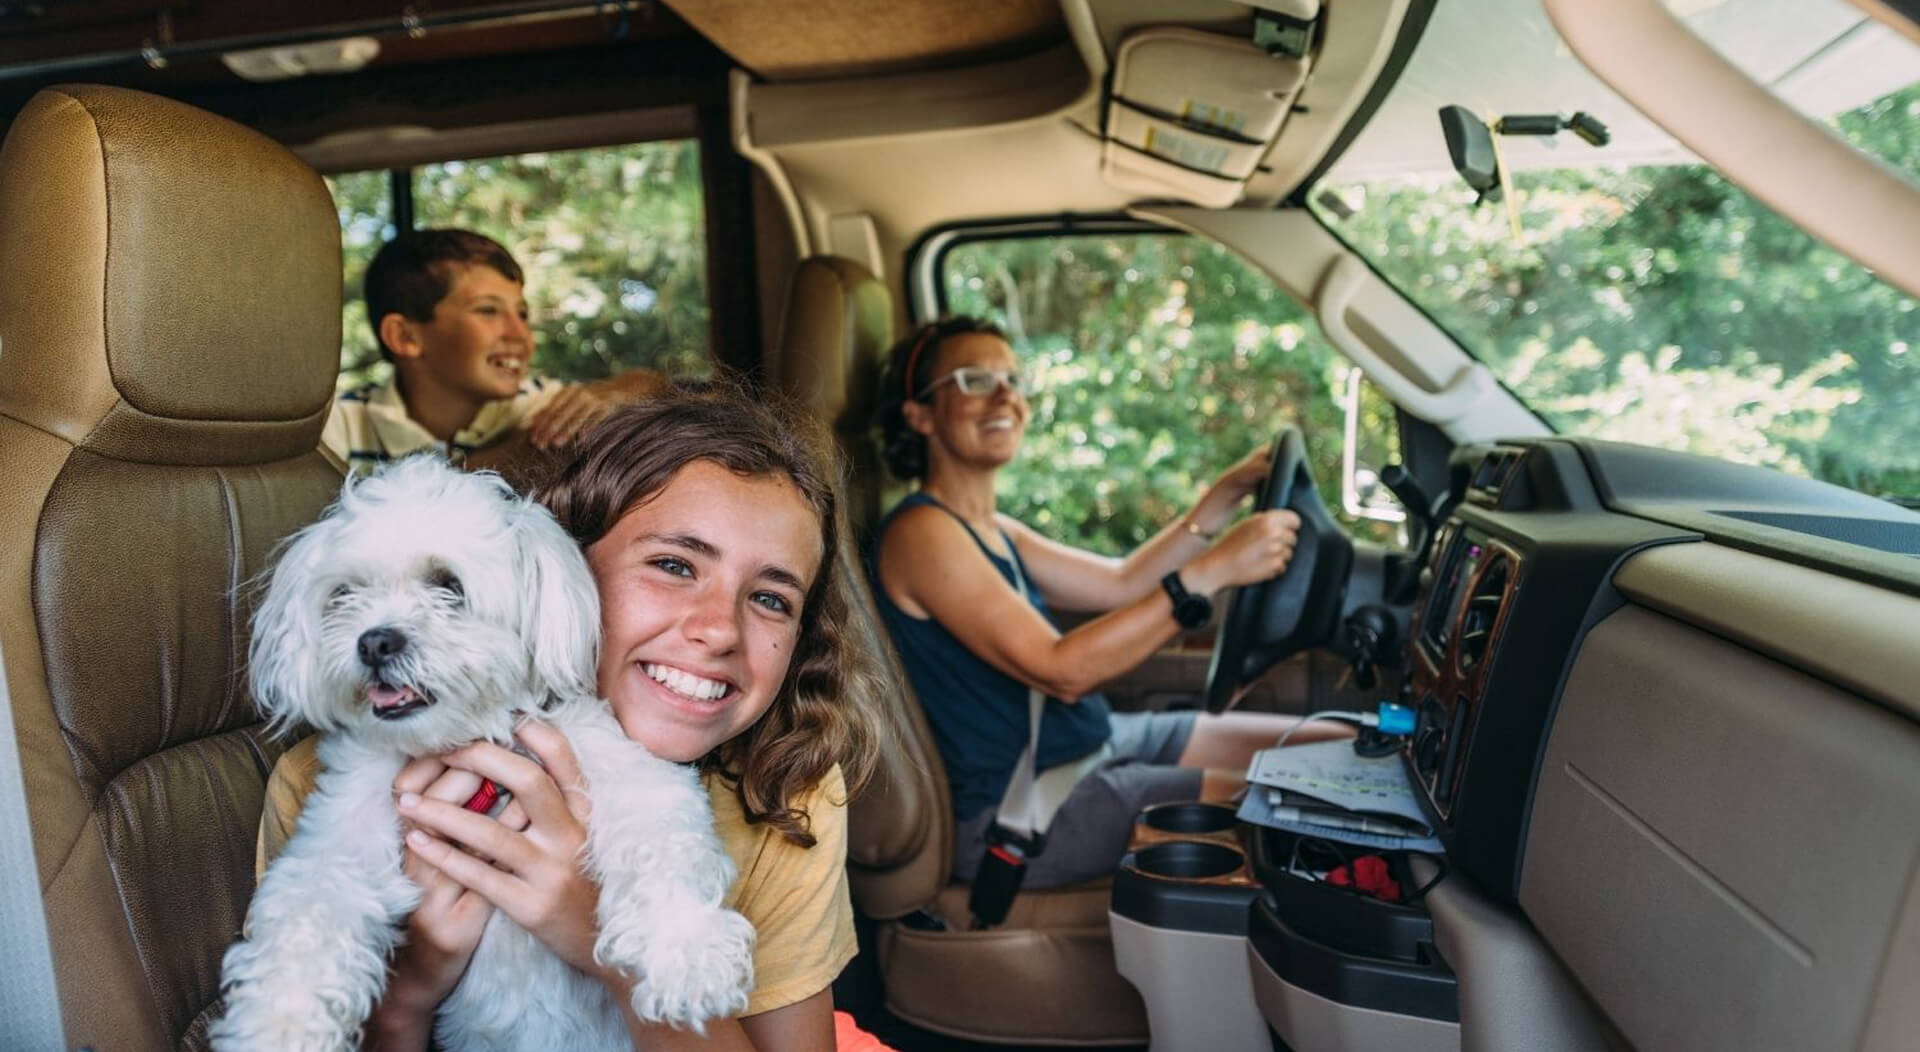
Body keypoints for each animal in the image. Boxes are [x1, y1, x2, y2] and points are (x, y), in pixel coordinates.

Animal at [210, 458, 748, 1052]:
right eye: (345, 595)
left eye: (449, 586)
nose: (374, 642)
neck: (463, 741)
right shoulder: (339, 840)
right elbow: (308, 911)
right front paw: (278, 1021)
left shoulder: (629, 771)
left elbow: (661, 842)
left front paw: (687, 953)